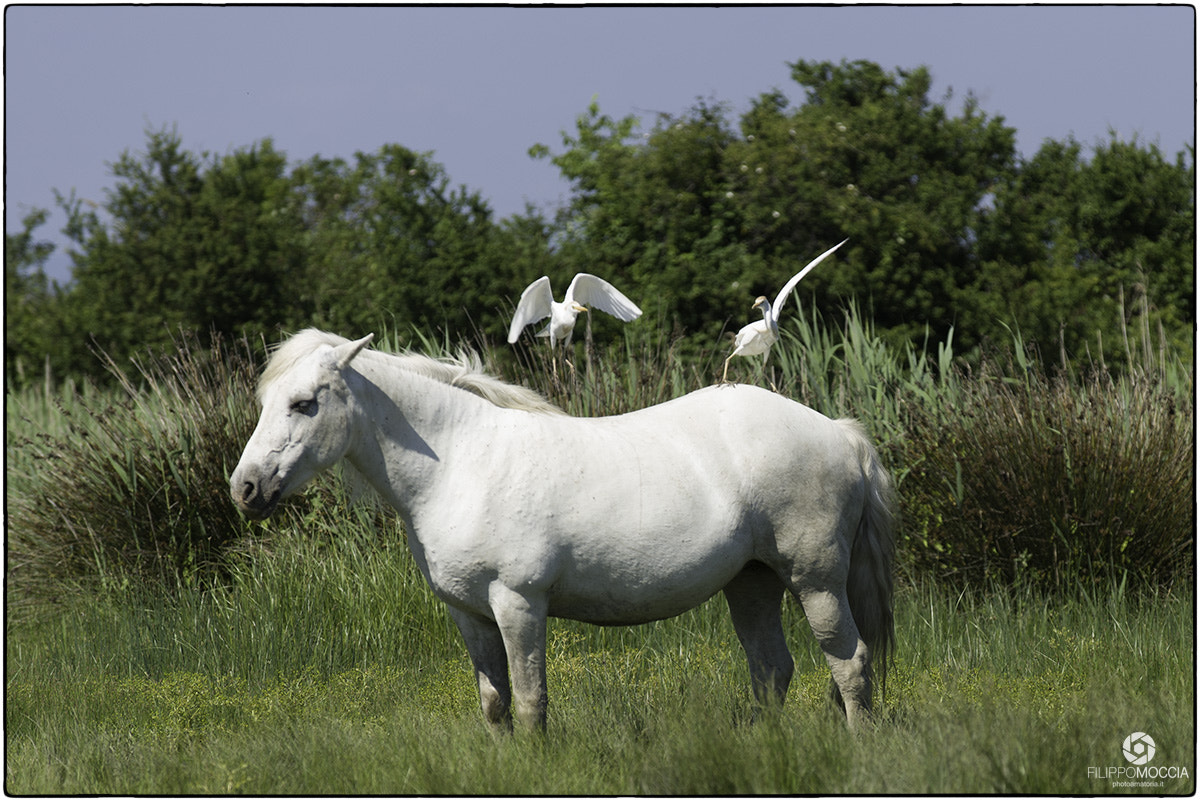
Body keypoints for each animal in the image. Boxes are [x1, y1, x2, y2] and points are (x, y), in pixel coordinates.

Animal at [230, 329, 897, 732]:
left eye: (305, 404)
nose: (245, 489)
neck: (460, 462)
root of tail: (840, 433)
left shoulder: (518, 603)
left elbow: (530, 700)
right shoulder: (469, 614)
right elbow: (495, 702)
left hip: (815, 581)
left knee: (850, 663)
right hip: (752, 580)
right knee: (772, 670)